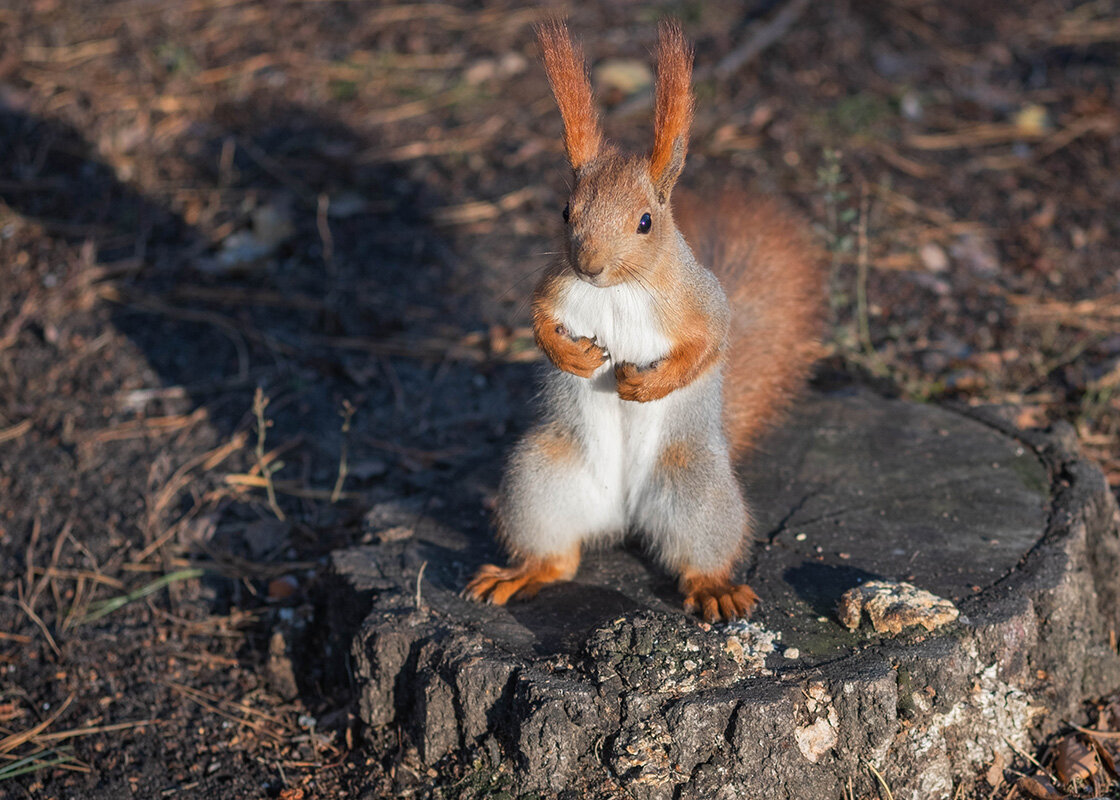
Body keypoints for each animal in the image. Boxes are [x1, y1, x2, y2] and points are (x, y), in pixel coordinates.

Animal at [463, 17, 824, 618]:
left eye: (646, 221)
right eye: (566, 211)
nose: (589, 265)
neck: (615, 290)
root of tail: (625, 515)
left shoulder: (702, 303)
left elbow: (710, 345)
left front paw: (642, 386)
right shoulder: (555, 287)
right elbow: (538, 322)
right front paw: (573, 356)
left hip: (697, 492)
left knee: (698, 555)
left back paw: (714, 587)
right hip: (539, 481)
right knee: (556, 557)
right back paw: (521, 574)